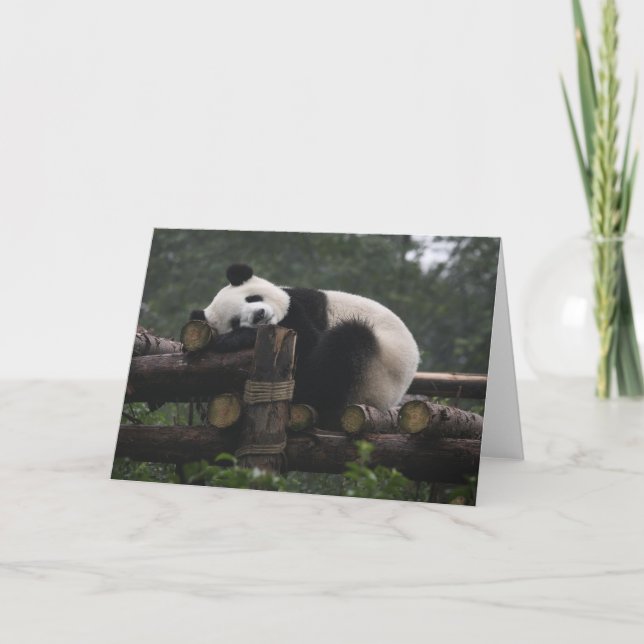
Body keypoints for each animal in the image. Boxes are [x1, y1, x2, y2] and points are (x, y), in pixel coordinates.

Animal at [190, 264, 420, 427]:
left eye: (252, 298)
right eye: (235, 321)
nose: (259, 315)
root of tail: (389, 401)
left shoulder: (302, 306)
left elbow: (309, 343)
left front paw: (233, 339)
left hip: (376, 370)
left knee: (344, 345)